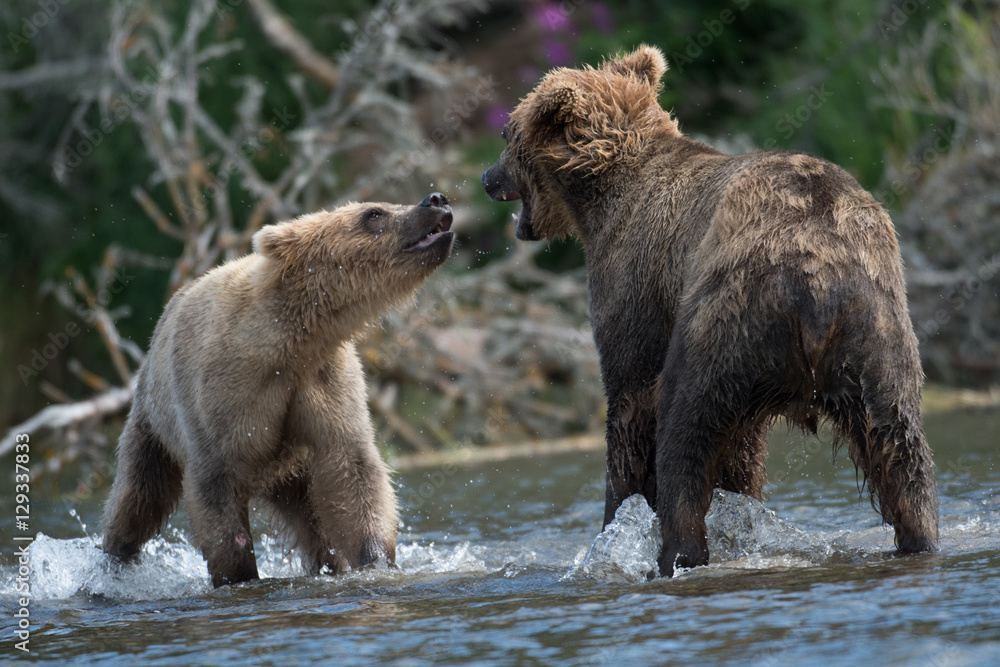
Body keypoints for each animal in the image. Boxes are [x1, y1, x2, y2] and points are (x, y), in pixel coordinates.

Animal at [101, 193, 455, 587]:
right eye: (373, 213)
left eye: (380, 205)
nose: (435, 199)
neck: (290, 341)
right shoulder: (223, 397)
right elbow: (216, 493)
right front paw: (239, 573)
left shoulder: (322, 381)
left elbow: (353, 472)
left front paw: (376, 558)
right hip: (152, 422)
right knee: (139, 497)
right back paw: (114, 560)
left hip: (294, 471)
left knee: (312, 520)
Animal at [482, 45, 939, 576]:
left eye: (506, 135)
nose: (486, 178)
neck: (599, 197)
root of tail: (815, 280)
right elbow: (740, 451)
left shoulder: (632, 277)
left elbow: (630, 402)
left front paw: (616, 521)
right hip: (877, 328)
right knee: (900, 443)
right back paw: (920, 535)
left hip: (725, 311)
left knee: (684, 422)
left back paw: (677, 551)